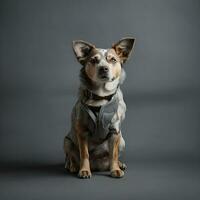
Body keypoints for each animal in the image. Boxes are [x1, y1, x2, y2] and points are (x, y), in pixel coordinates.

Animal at [64, 37, 136, 178]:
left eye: (113, 60)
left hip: (122, 140)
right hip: (67, 141)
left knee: (112, 156)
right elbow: (84, 154)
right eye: (93, 60)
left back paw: (119, 164)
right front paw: (84, 170)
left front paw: (115, 169)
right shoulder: (82, 132)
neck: (101, 97)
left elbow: (113, 154)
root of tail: (97, 165)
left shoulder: (115, 131)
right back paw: (73, 166)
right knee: (71, 156)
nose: (103, 68)